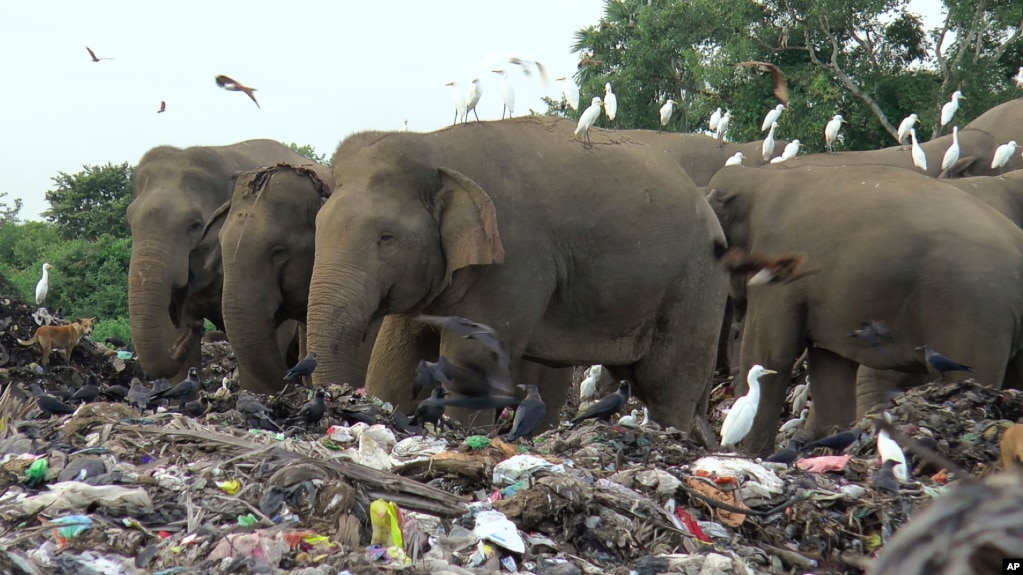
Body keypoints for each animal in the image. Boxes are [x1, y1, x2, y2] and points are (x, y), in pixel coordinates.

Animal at [302, 114, 728, 431]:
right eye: (318, 225)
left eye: (386, 238)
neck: (436, 146)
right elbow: (399, 354)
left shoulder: (513, 259)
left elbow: (474, 357)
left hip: (697, 284)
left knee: (666, 383)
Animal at [707, 163, 1023, 454]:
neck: (758, 176)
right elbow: (829, 364)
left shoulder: (779, 271)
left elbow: (770, 353)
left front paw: (750, 454)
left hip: (972, 314)